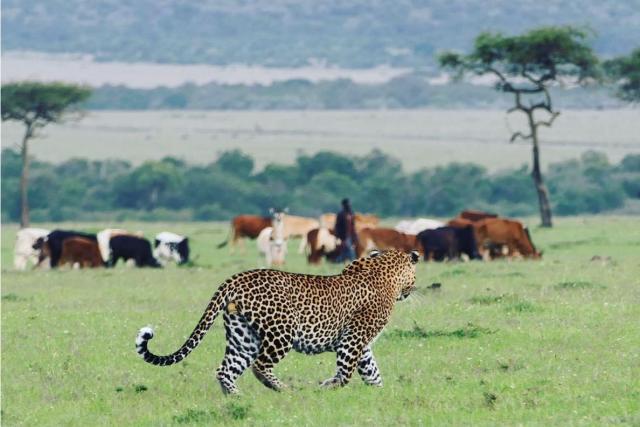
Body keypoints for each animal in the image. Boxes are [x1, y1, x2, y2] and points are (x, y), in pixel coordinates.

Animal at [135, 248, 419, 394]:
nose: (412, 290)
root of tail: (236, 278)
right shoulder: (353, 340)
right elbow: (347, 372)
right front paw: (326, 387)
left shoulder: (360, 343)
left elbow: (371, 371)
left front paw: (379, 394)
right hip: (281, 332)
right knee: (260, 366)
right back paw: (284, 389)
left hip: (243, 336)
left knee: (226, 370)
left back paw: (236, 399)